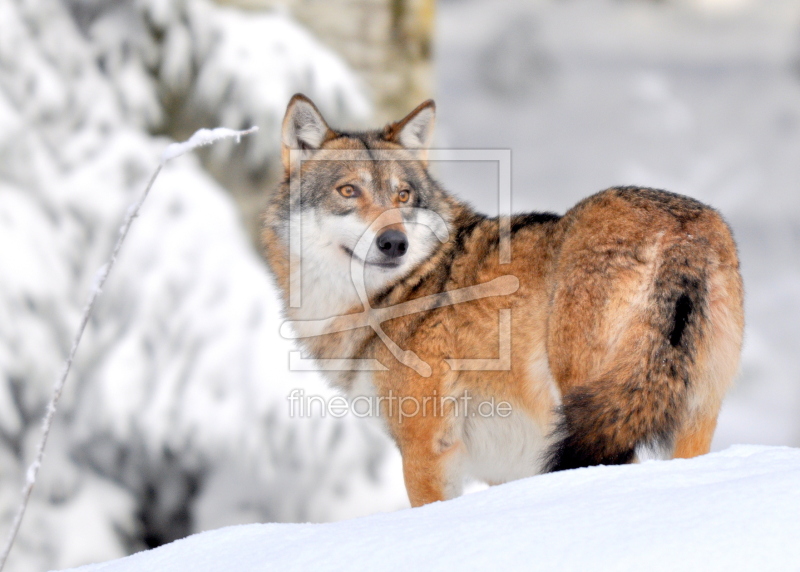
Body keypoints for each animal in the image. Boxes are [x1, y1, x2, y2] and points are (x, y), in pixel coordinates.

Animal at [262, 95, 744, 510]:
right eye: (348, 191)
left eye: (403, 196)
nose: (395, 243)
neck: (406, 287)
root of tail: (684, 230)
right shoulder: (503, 469)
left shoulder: (426, 447)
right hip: (689, 417)